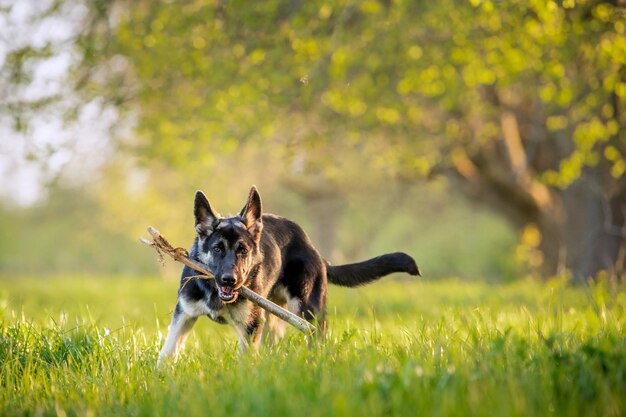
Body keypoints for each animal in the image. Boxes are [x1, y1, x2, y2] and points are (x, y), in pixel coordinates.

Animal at [156, 186, 420, 364]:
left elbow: (246, 358)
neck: (214, 291)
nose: (230, 280)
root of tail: (313, 248)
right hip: (273, 317)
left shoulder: (250, 326)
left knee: (316, 338)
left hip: (307, 310)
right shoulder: (184, 315)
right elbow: (168, 350)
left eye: (243, 251)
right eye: (217, 248)